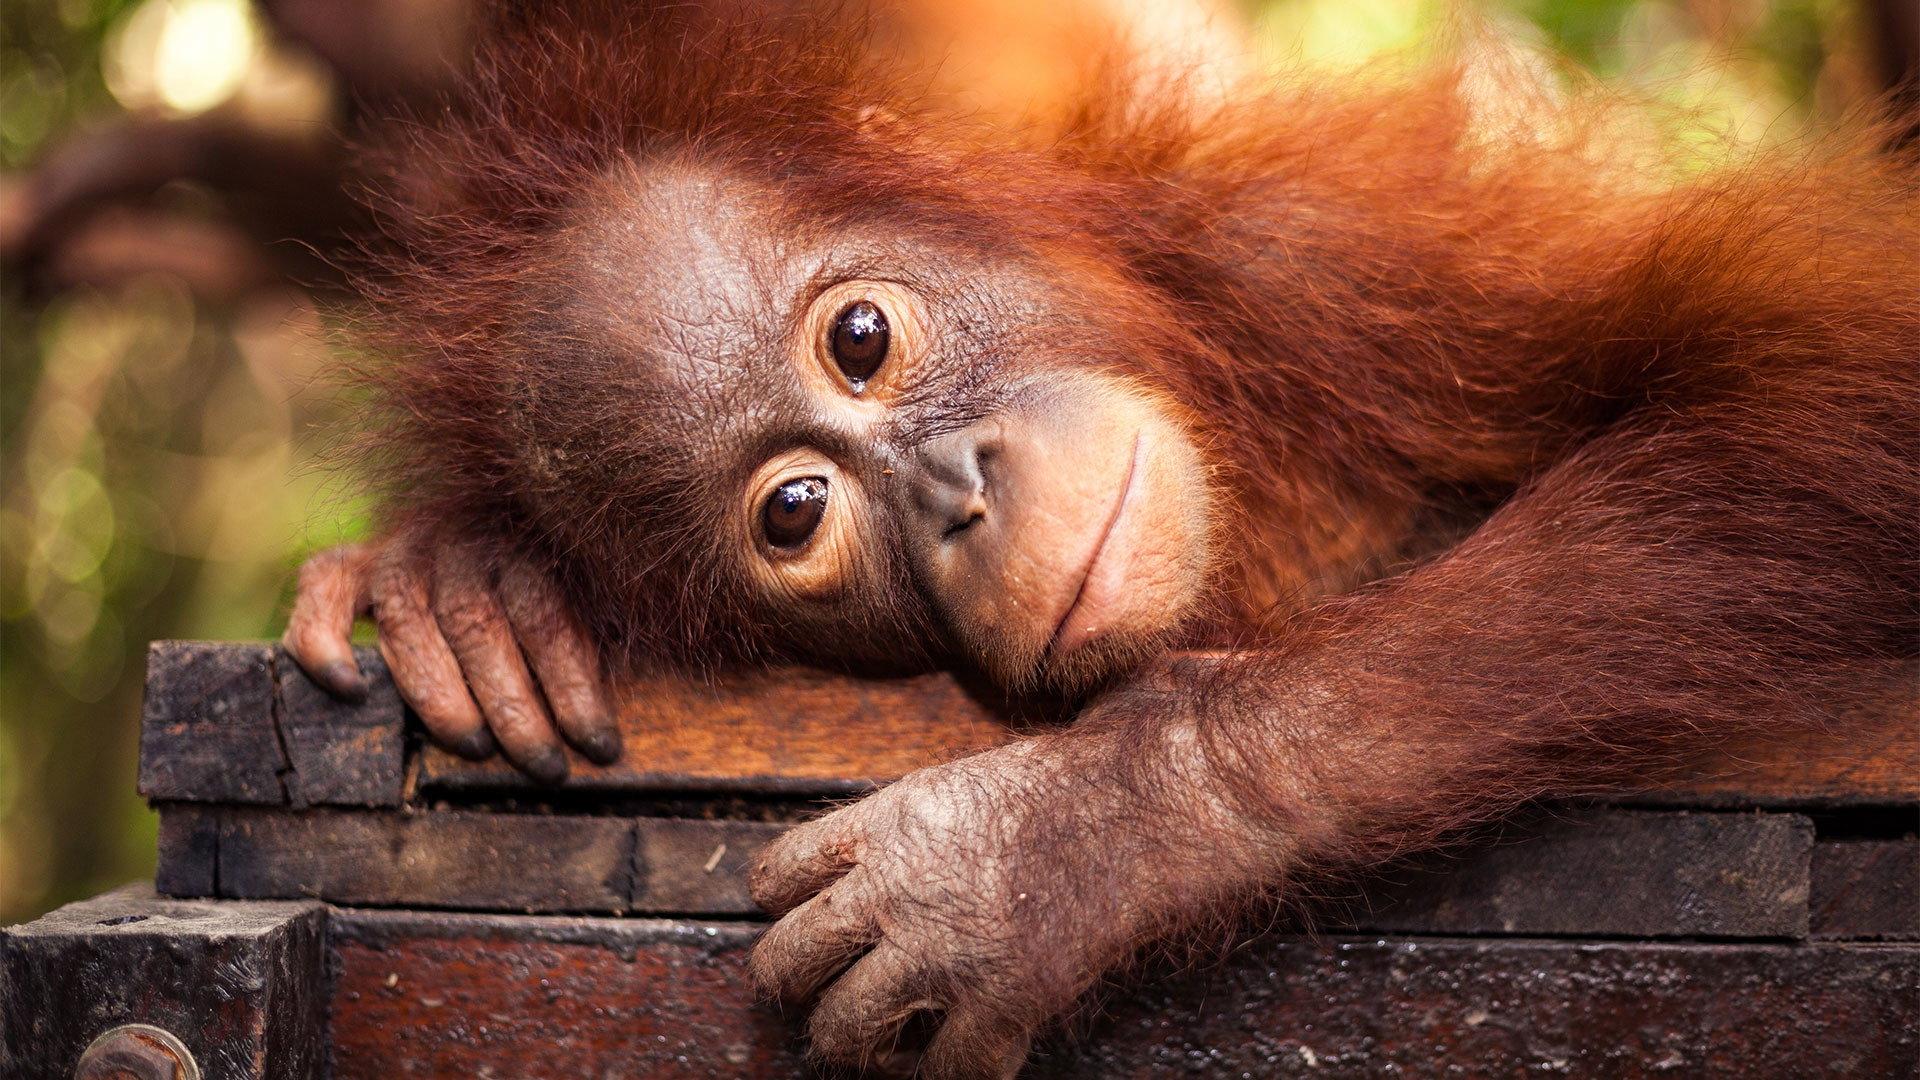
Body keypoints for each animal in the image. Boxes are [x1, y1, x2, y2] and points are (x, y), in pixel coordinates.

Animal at [278, 4, 1920, 1075]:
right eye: (796, 512)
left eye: (861, 335)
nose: (959, 495)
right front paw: (464, 586)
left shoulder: (1345, 263)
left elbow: (1825, 383)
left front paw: (1046, 853)